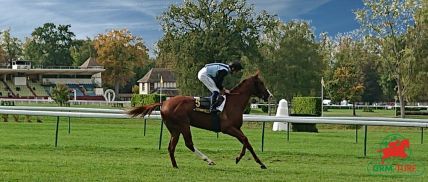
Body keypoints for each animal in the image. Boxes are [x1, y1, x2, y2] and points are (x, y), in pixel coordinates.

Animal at [127, 72, 272, 168]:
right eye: (261, 83)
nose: (269, 95)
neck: (233, 103)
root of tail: (164, 103)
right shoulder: (227, 128)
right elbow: (245, 140)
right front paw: (250, 160)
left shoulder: (236, 128)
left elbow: (246, 142)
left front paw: (249, 160)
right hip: (183, 125)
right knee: (188, 144)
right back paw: (209, 160)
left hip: (174, 129)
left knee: (171, 147)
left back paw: (175, 165)